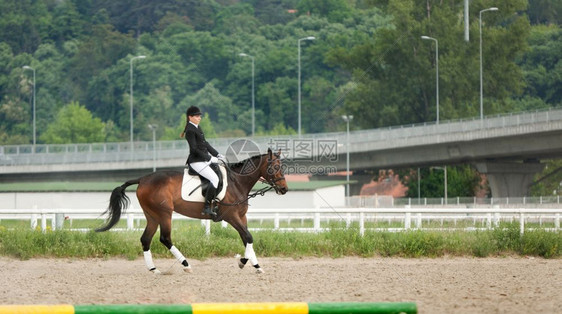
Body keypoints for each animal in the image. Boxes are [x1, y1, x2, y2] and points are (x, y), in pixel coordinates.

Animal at [94, 148, 286, 274]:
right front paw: (243, 262)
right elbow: (248, 237)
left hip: (152, 215)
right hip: (164, 213)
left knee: (145, 239)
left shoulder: (241, 217)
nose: (284, 189)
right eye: (274, 168)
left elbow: (246, 238)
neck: (236, 183)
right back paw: (186, 265)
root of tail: (143, 178)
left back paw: (154, 269)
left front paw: (255, 265)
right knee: (165, 238)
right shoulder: (231, 217)